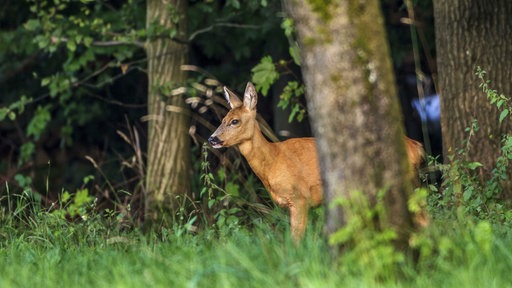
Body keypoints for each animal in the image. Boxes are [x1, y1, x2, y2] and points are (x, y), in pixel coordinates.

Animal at [208, 82, 424, 242]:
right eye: (223, 119)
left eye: (235, 121)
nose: (212, 138)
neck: (273, 161)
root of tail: (416, 146)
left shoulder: (299, 196)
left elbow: (296, 239)